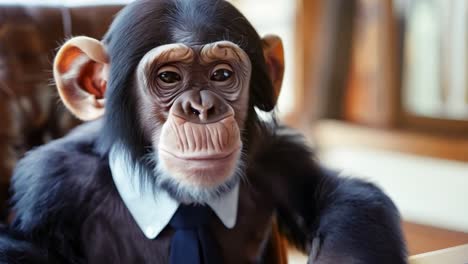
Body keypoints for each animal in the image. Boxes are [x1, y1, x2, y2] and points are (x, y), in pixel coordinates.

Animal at [0, 0, 406, 264]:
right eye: (168, 77)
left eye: (221, 75)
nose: (201, 108)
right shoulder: (52, 182)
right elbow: (21, 245)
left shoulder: (278, 158)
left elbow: (333, 192)